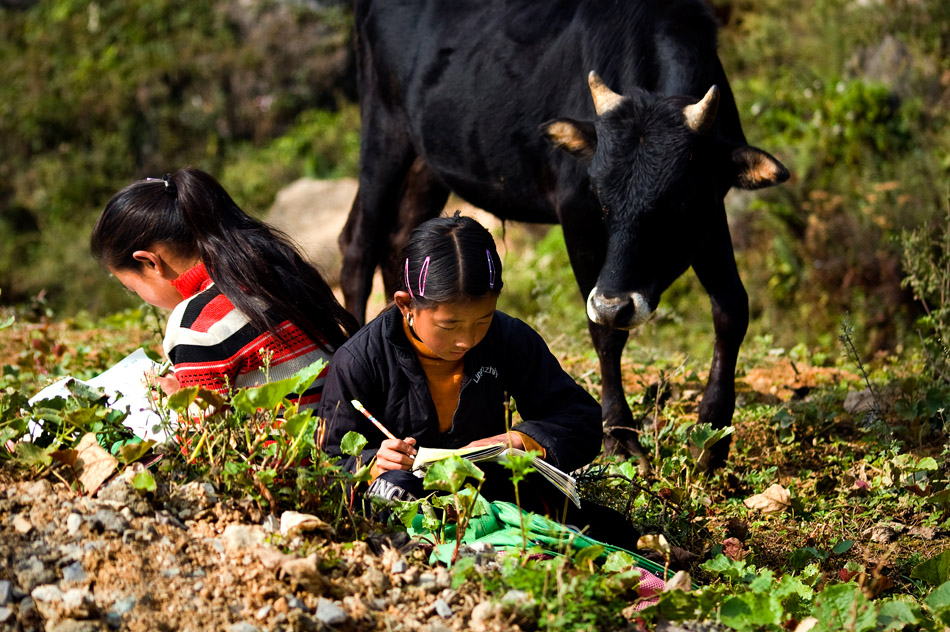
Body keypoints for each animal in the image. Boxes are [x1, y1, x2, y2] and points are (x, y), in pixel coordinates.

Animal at [340, 0, 788, 470]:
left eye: (677, 200)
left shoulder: (709, 216)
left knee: (397, 240)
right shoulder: (576, 216)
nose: (615, 304)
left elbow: (732, 308)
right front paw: (620, 436)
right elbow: (605, 333)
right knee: (358, 246)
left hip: (425, 165)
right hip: (383, 134)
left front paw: (714, 436)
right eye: (599, 192)